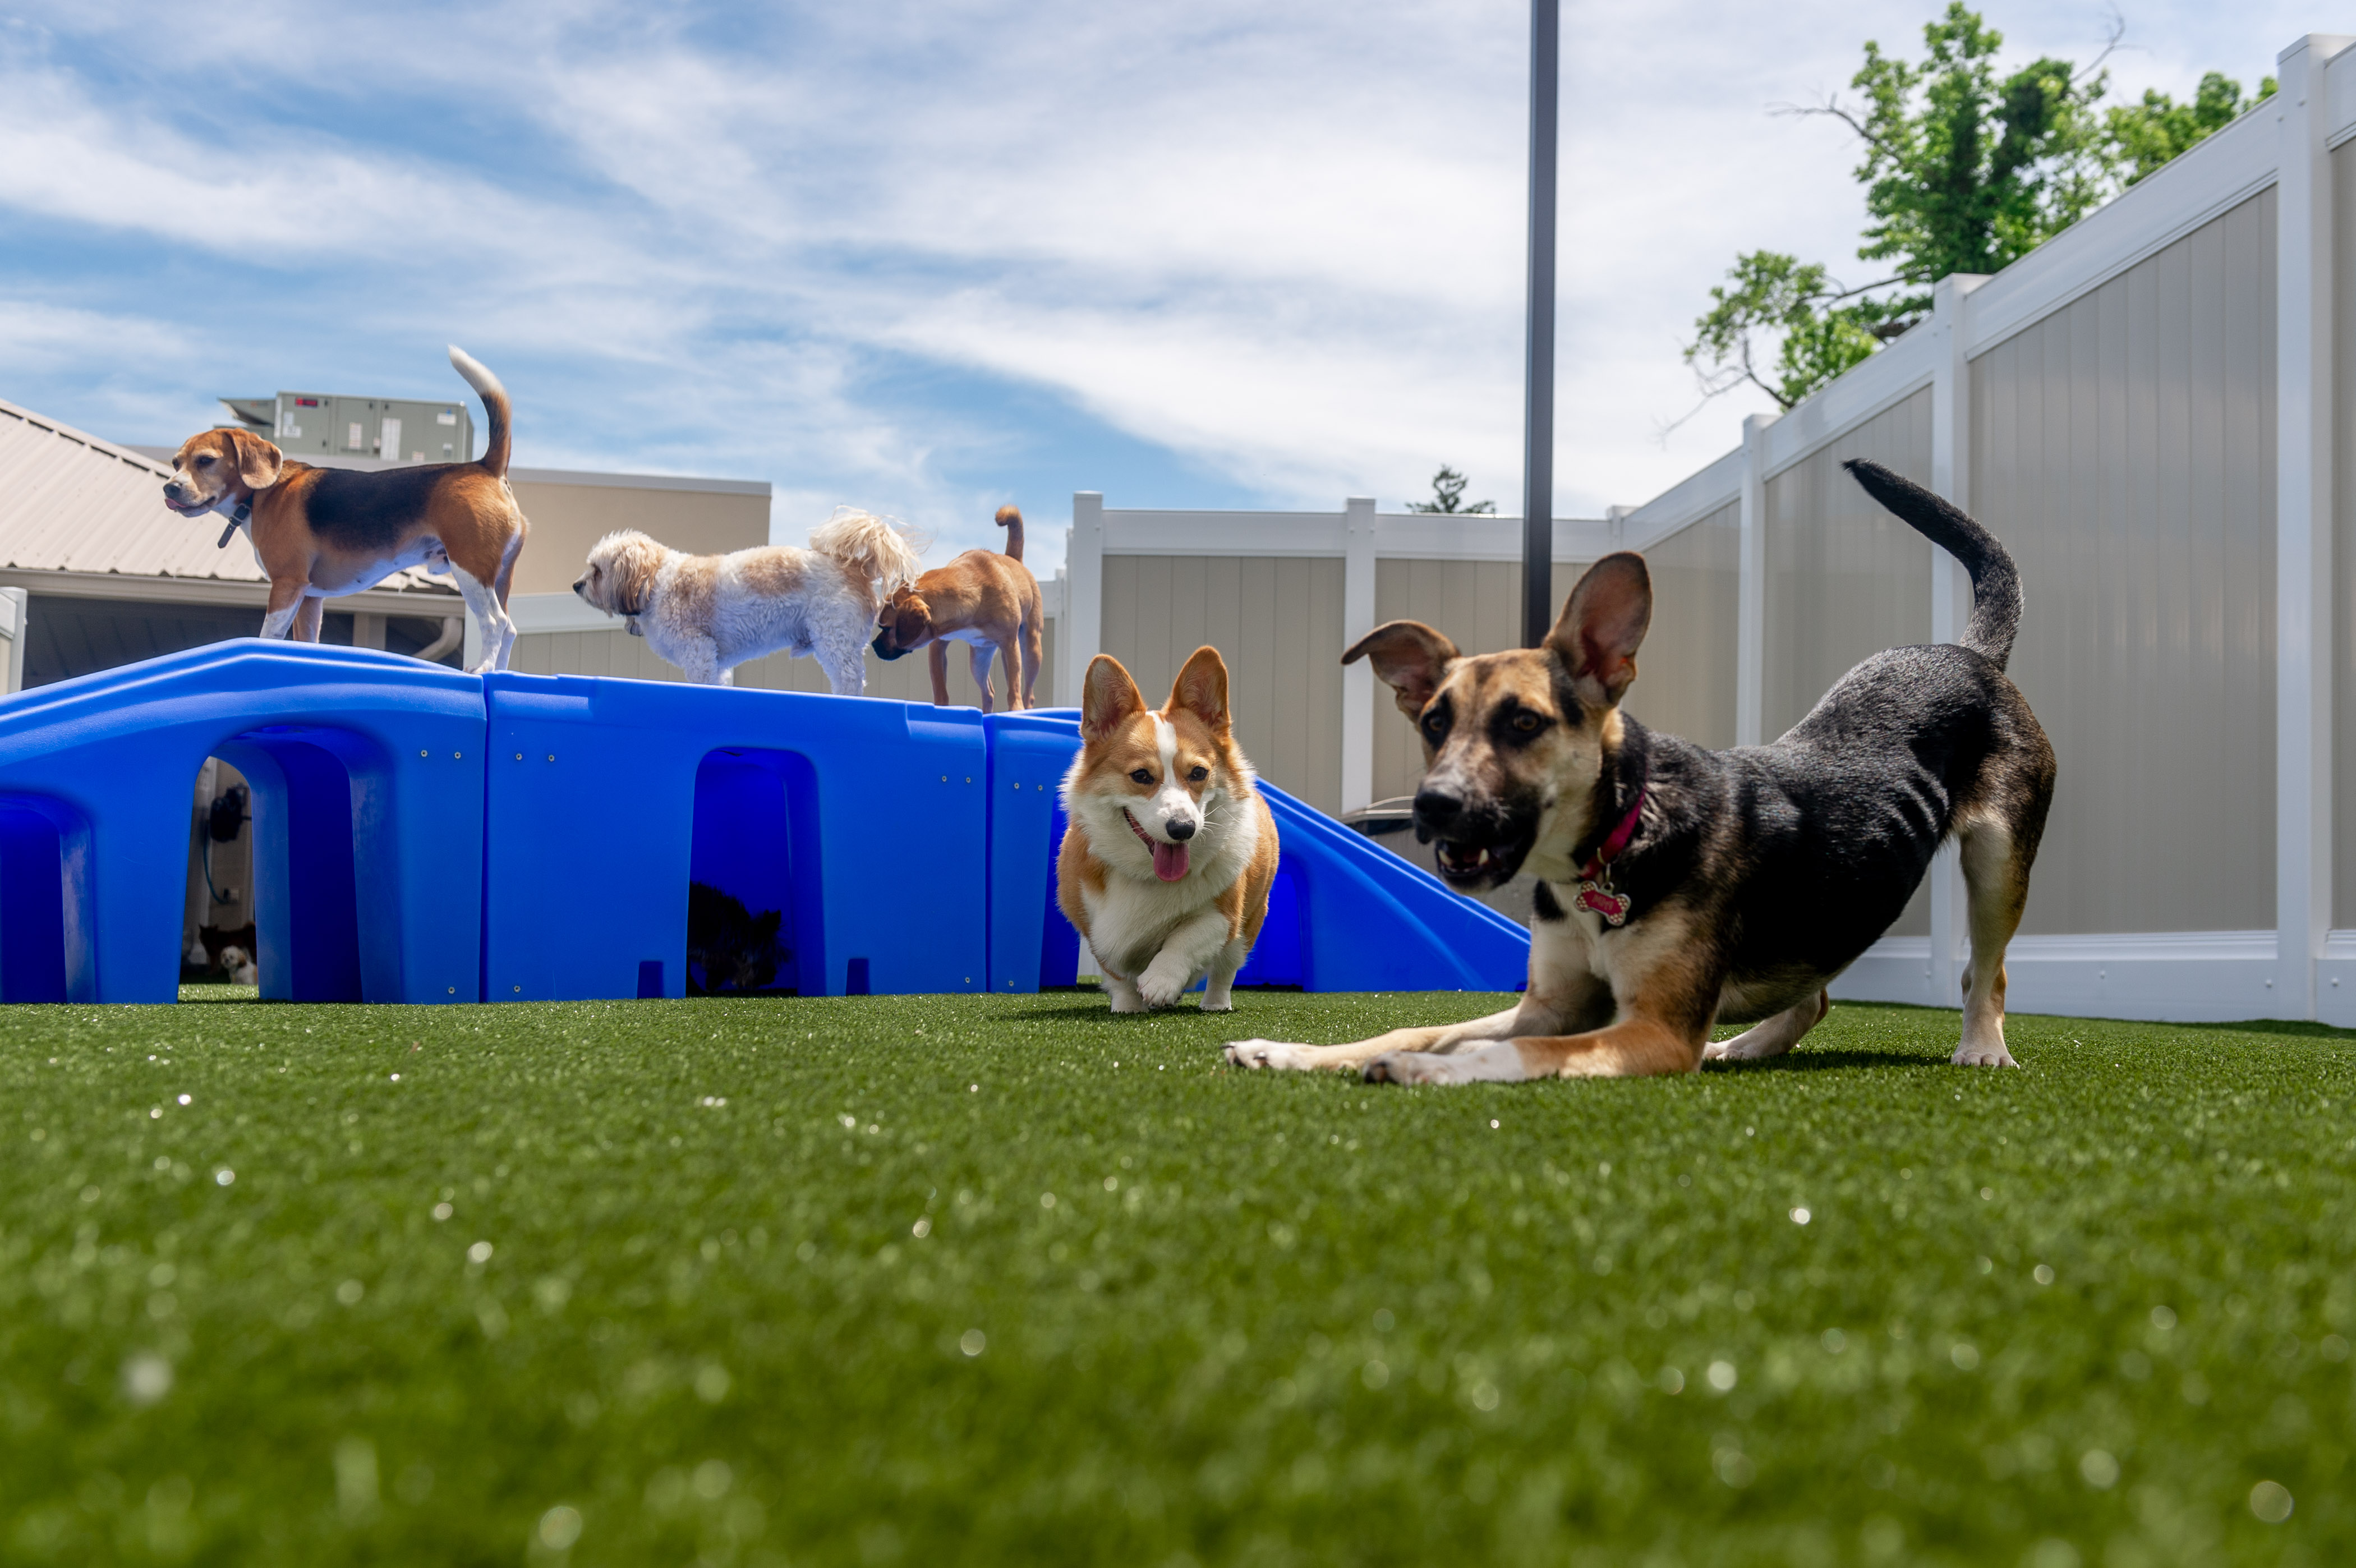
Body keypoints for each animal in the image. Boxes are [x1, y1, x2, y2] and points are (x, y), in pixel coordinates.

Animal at [163, 346, 532, 669]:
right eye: (176, 463)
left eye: (206, 461)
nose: (170, 488)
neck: (261, 495)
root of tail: (484, 466)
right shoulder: (310, 598)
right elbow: (306, 642)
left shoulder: (287, 585)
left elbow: (269, 635)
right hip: (500, 575)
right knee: (511, 628)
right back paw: (499, 672)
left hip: (470, 568)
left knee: (495, 622)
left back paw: (482, 668)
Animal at [574, 507, 923, 693]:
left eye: (597, 571)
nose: (576, 585)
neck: (655, 581)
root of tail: (855, 566)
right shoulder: (715, 662)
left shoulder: (697, 652)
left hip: (835, 636)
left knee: (850, 679)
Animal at [871, 507, 1046, 707]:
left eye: (887, 628)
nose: (874, 645)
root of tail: (1014, 559)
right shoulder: (938, 646)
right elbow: (940, 688)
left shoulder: (1010, 644)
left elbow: (1014, 689)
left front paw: (1016, 708)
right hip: (979, 659)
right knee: (988, 692)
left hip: (1030, 650)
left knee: (1027, 692)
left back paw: (1025, 707)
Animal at [1225, 459, 2054, 1084]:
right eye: (1434, 722)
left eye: (1524, 722)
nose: (1431, 805)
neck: (1613, 842)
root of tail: (1969, 652)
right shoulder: (1550, 999)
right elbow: (1420, 1025)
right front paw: (1291, 1050)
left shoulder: (1653, 1027)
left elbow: (1519, 1050)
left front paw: (1436, 1068)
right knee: (1814, 995)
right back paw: (1748, 1044)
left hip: (1998, 860)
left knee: (1989, 972)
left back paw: (1982, 1046)